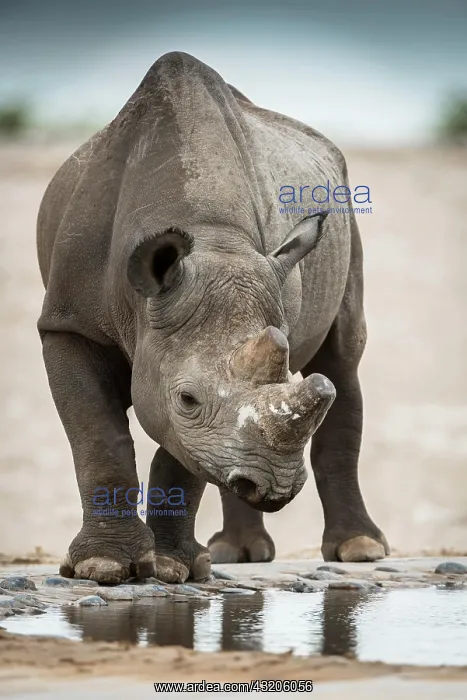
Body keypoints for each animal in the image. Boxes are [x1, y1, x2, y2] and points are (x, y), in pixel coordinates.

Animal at [37, 51, 388, 584]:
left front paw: (170, 567)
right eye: (187, 398)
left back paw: (359, 550)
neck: (211, 236)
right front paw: (104, 567)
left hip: (347, 217)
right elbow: (99, 438)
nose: (273, 488)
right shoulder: (67, 323)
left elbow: (183, 454)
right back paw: (235, 554)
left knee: (342, 360)